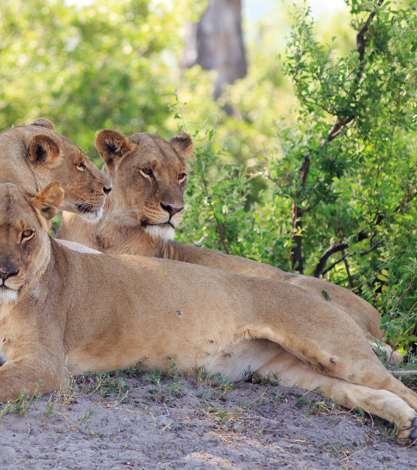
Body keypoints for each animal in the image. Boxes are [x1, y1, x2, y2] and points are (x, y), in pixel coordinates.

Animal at [0, 182, 416, 442]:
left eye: (27, 233)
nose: (6, 273)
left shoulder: (44, 363)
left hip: (331, 348)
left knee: (400, 387)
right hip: (295, 373)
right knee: (365, 393)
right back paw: (404, 425)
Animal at [59, 130, 400, 362]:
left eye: (181, 176)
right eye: (147, 171)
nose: (175, 209)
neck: (107, 228)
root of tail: (377, 318)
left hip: (301, 286)